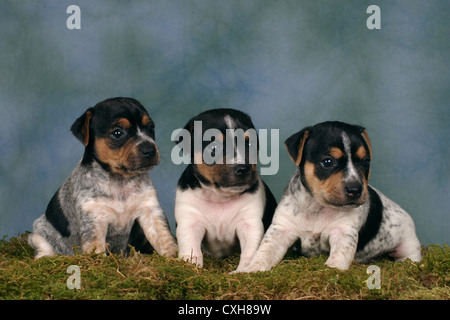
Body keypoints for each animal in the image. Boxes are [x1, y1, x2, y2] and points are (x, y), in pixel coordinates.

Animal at [26, 96, 179, 258]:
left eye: (150, 128)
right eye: (117, 133)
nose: (150, 150)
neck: (120, 181)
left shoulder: (150, 210)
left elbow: (164, 238)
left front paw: (175, 257)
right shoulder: (94, 218)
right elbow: (96, 249)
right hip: (39, 232)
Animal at [174, 109, 276, 272]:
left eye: (250, 144)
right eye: (214, 148)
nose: (243, 169)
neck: (220, 197)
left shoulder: (249, 224)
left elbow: (249, 252)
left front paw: (243, 271)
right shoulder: (190, 222)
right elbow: (191, 248)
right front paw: (192, 266)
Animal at [241, 121, 420, 272]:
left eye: (365, 161)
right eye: (327, 162)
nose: (355, 189)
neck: (316, 207)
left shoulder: (343, 232)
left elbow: (338, 256)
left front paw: (332, 270)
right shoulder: (282, 229)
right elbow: (264, 251)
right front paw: (252, 269)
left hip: (408, 244)